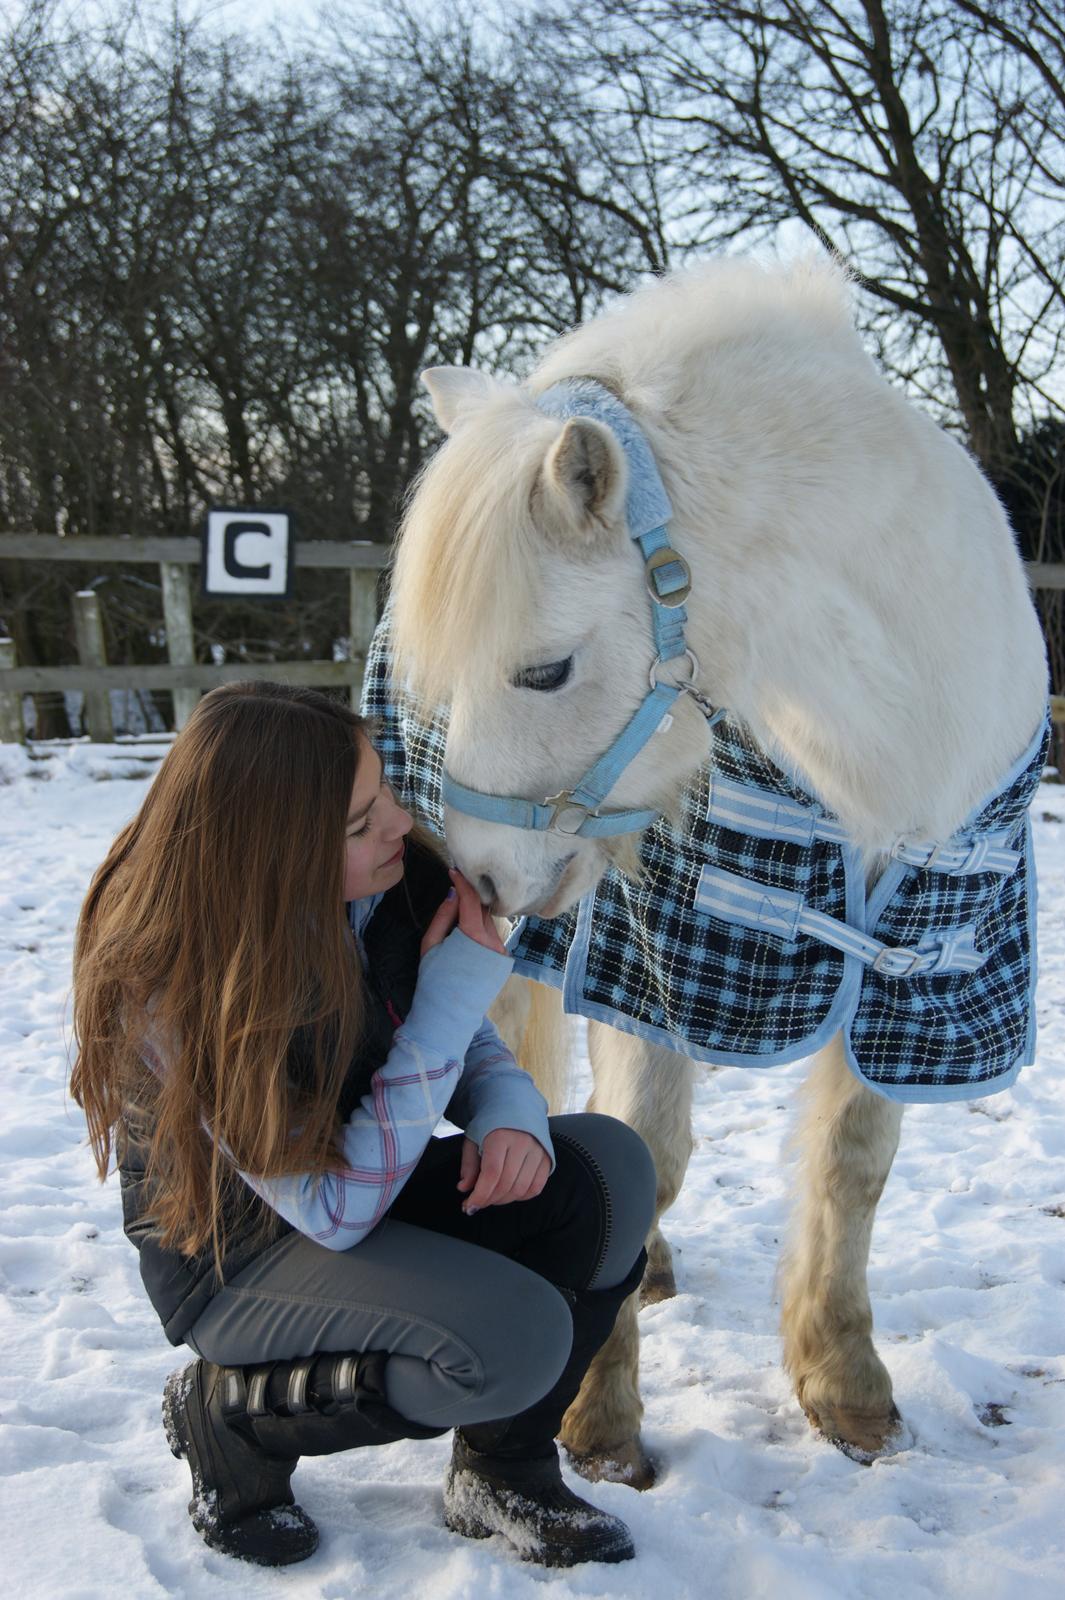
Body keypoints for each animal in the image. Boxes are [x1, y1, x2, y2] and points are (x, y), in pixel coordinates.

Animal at [383, 259, 1042, 1484]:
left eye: (544, 670)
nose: (482, 880)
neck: (873, 739)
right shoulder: (658, 964)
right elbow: (644, 1153)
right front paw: (598, 1421)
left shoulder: (916, 971)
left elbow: (853, 1162)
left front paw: (848, 1386)